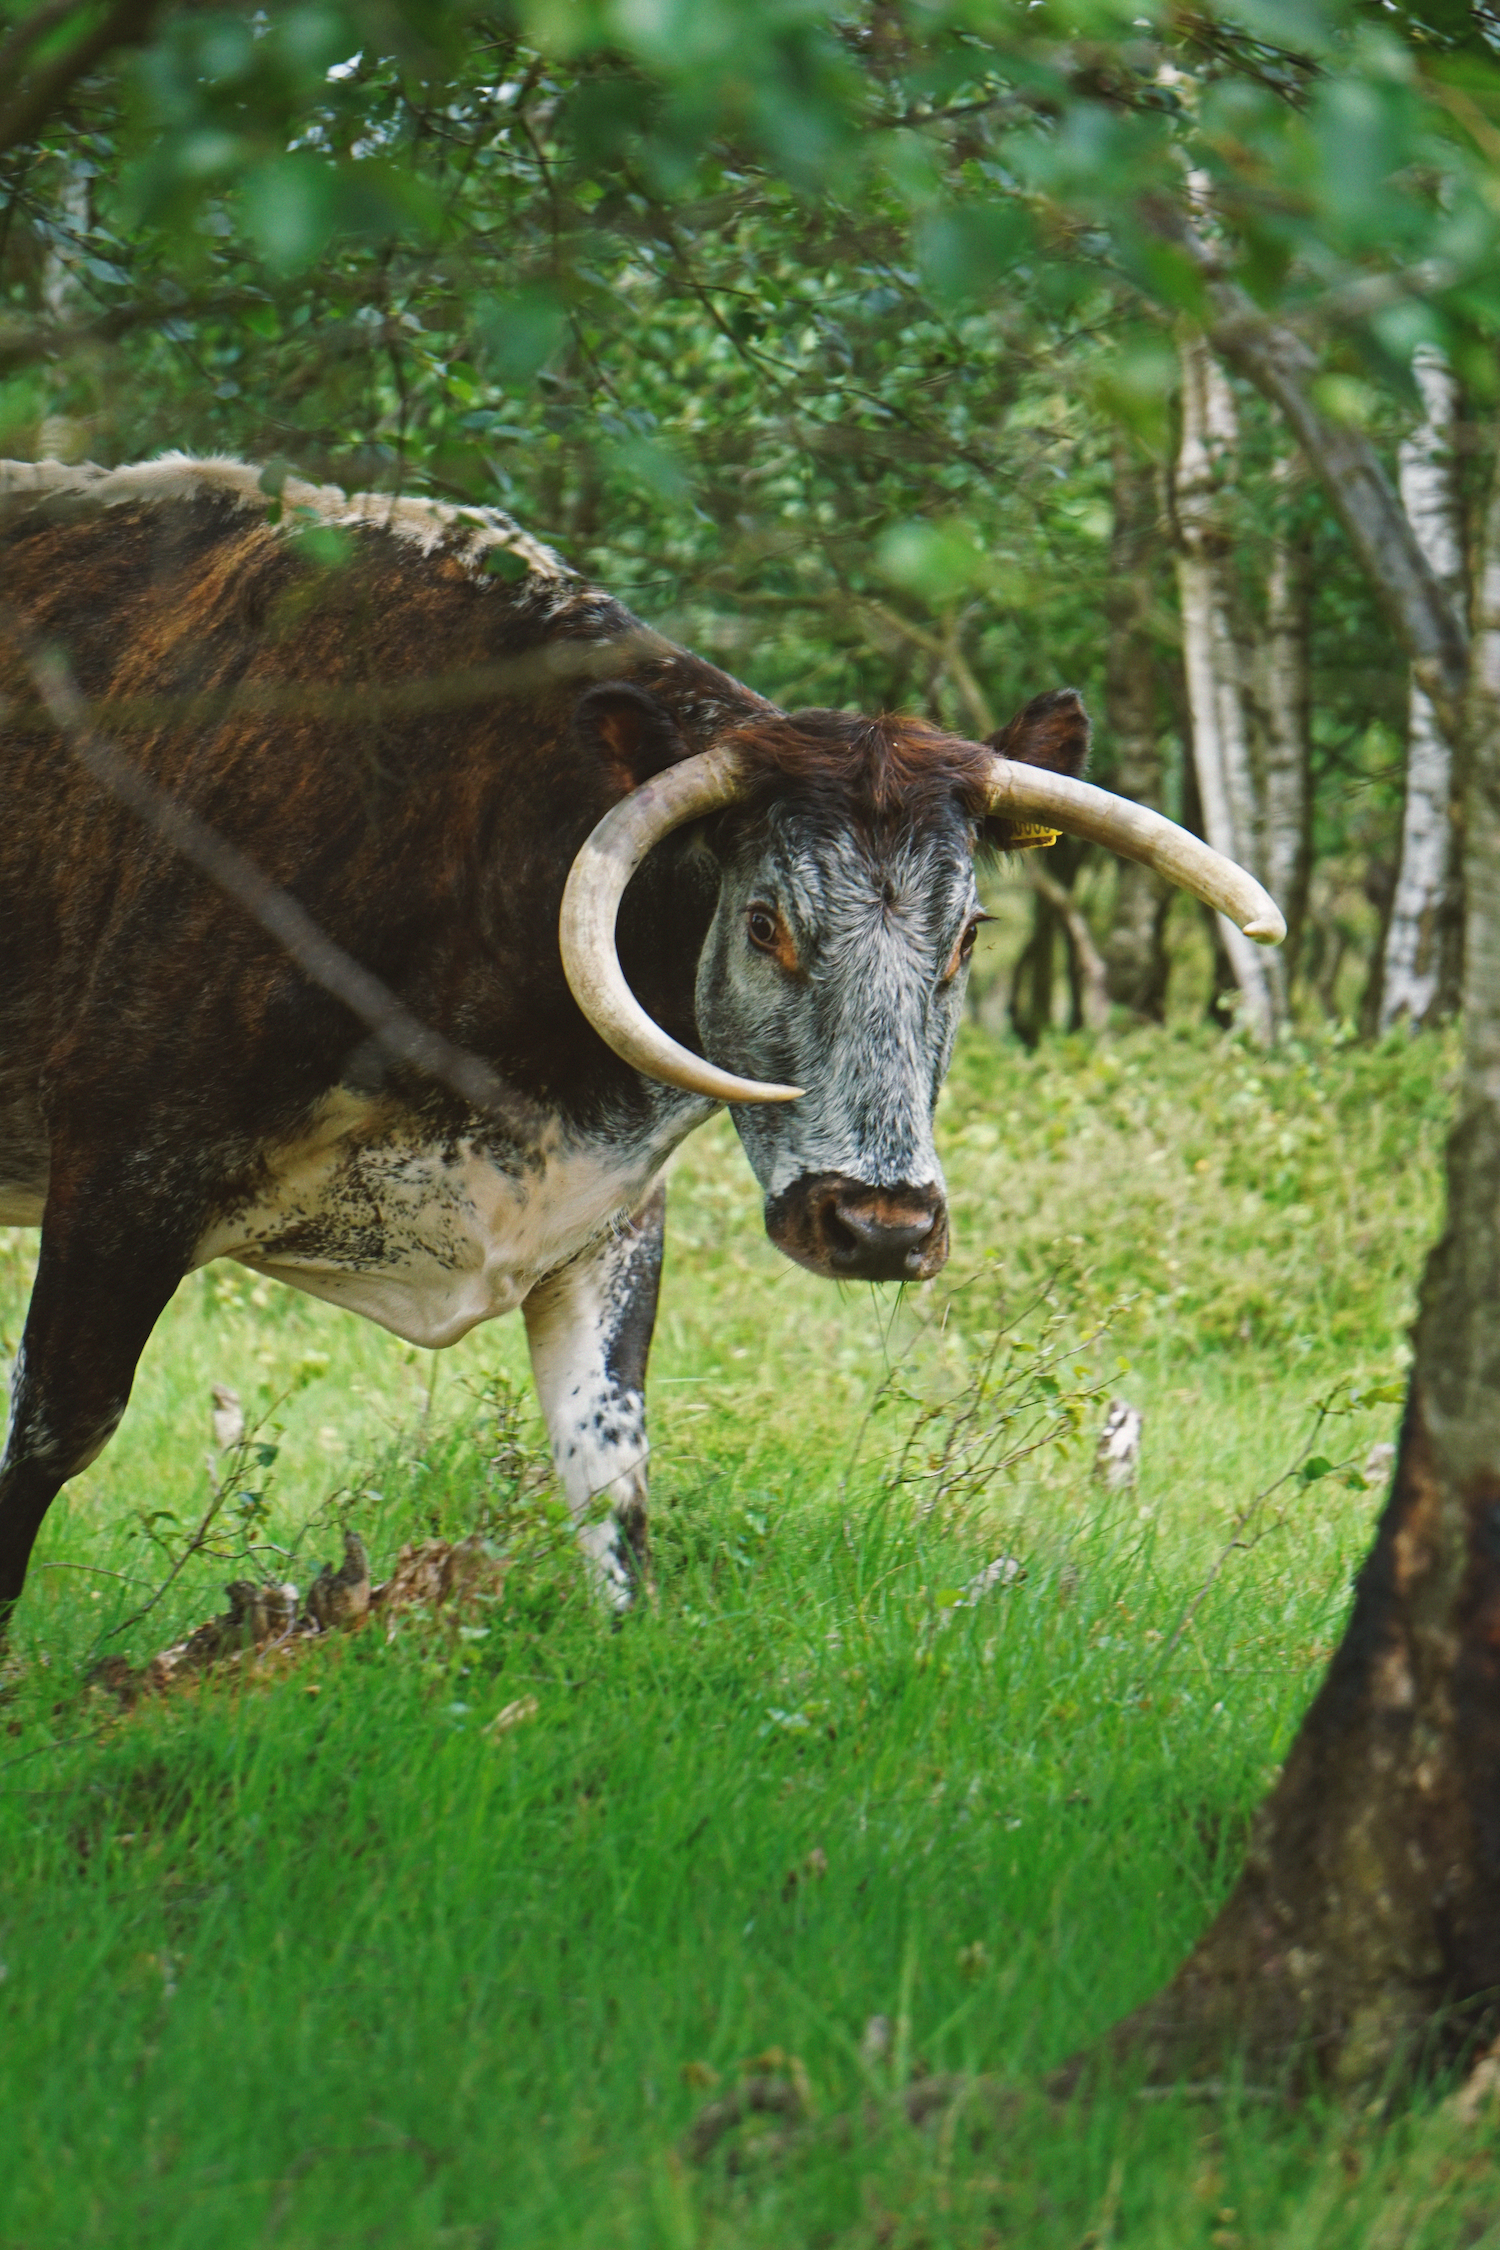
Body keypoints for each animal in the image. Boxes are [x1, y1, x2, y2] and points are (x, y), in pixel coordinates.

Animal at [0, 455, 1281, 1623]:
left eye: (968, 934)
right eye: (765, 922)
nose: (883, 1227)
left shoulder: (606, 1218)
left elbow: (607, 1465)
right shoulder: (120, 1176)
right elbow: (53, 1430)